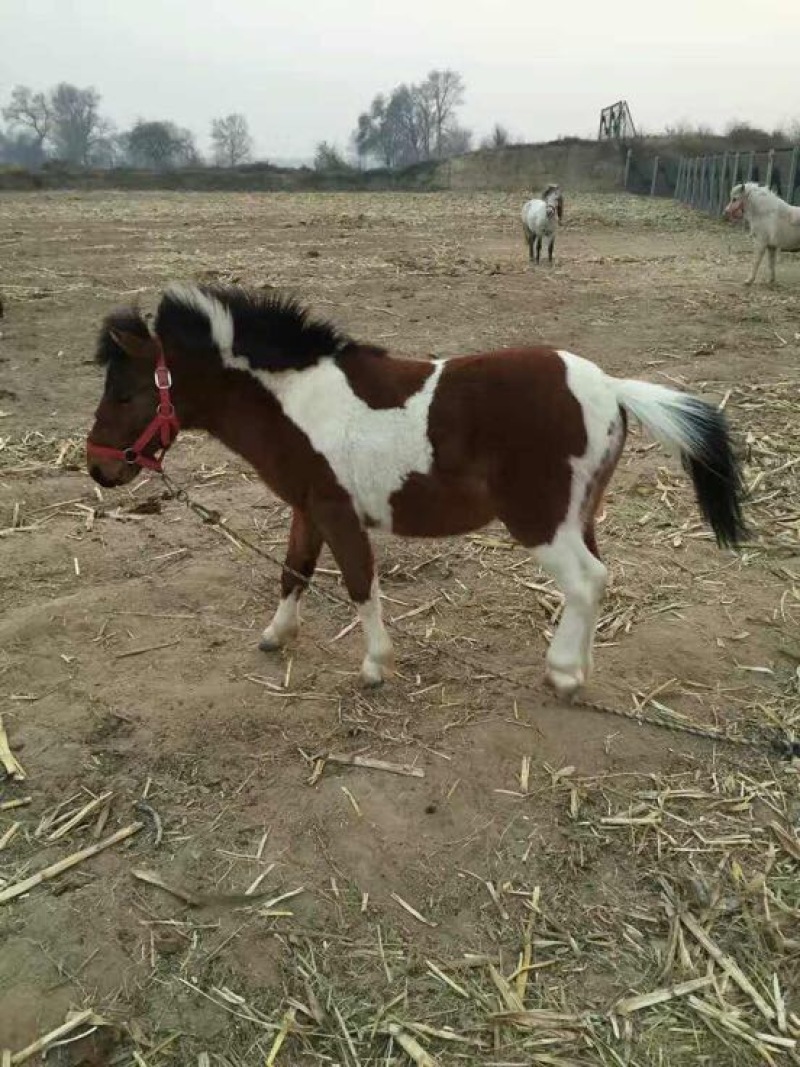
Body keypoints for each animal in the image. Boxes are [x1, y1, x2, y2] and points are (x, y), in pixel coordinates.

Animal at [86, 283, 745, 697]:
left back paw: (562, 674)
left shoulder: (336, 511)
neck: (298, 400)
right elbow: (294, 570)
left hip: (540, 522)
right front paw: (277, 635)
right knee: (600, 579)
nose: (98, 468)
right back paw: (580, 666)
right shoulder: (307, 508)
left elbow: (359, 584)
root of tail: (610, 387)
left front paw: (375, 665)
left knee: (585, 581)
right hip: (579, 516)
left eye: (124, 392)